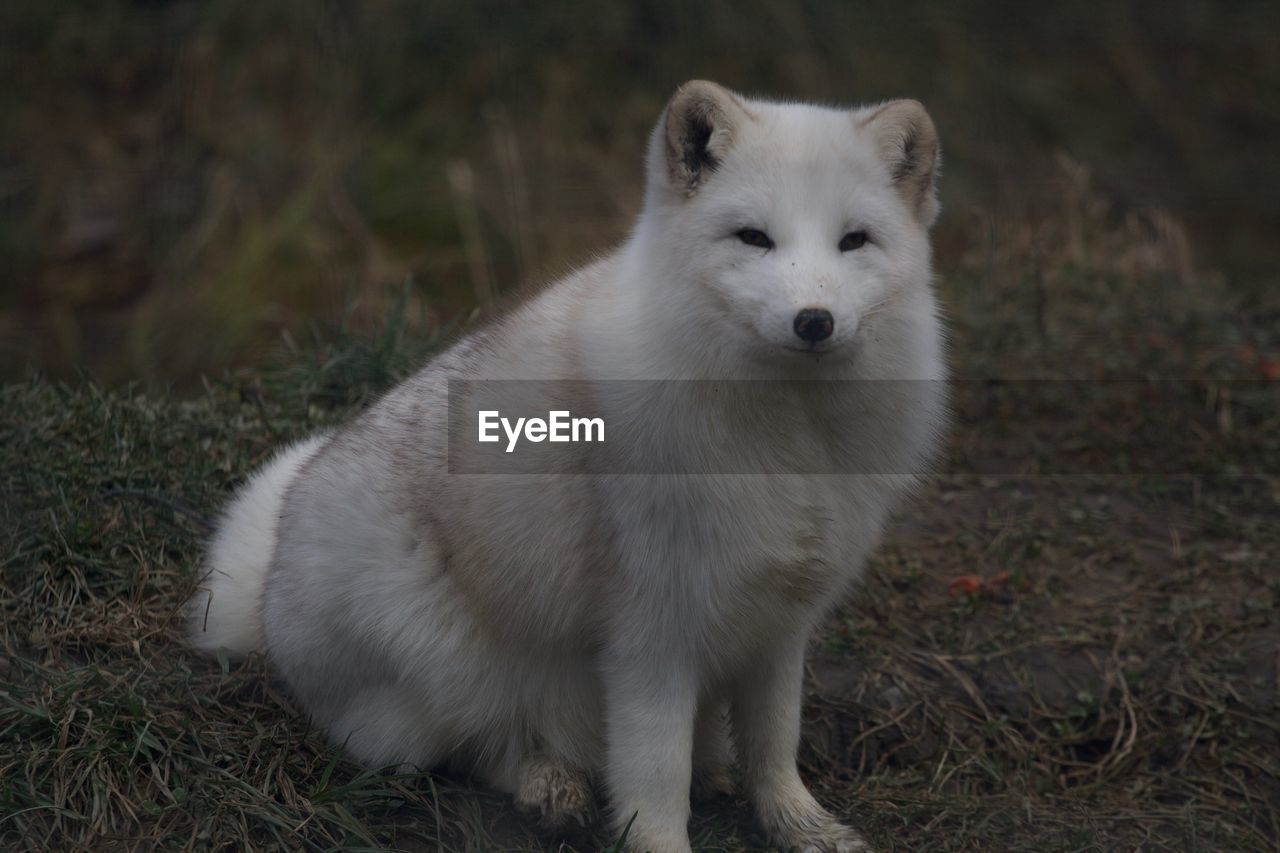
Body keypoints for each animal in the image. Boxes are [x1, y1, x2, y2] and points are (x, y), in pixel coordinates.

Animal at [192, 81, 952, 850]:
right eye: (753, 237)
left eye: (854, 240)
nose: (814, 320)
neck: (795, 446)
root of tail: (268, 585)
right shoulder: (653, 632)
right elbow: (655, 778)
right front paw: (659, 839)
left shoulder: (781, 621)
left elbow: (774, 743)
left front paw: (801, 825)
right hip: (443, 664)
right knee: (476, 748)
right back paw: (549, 784)